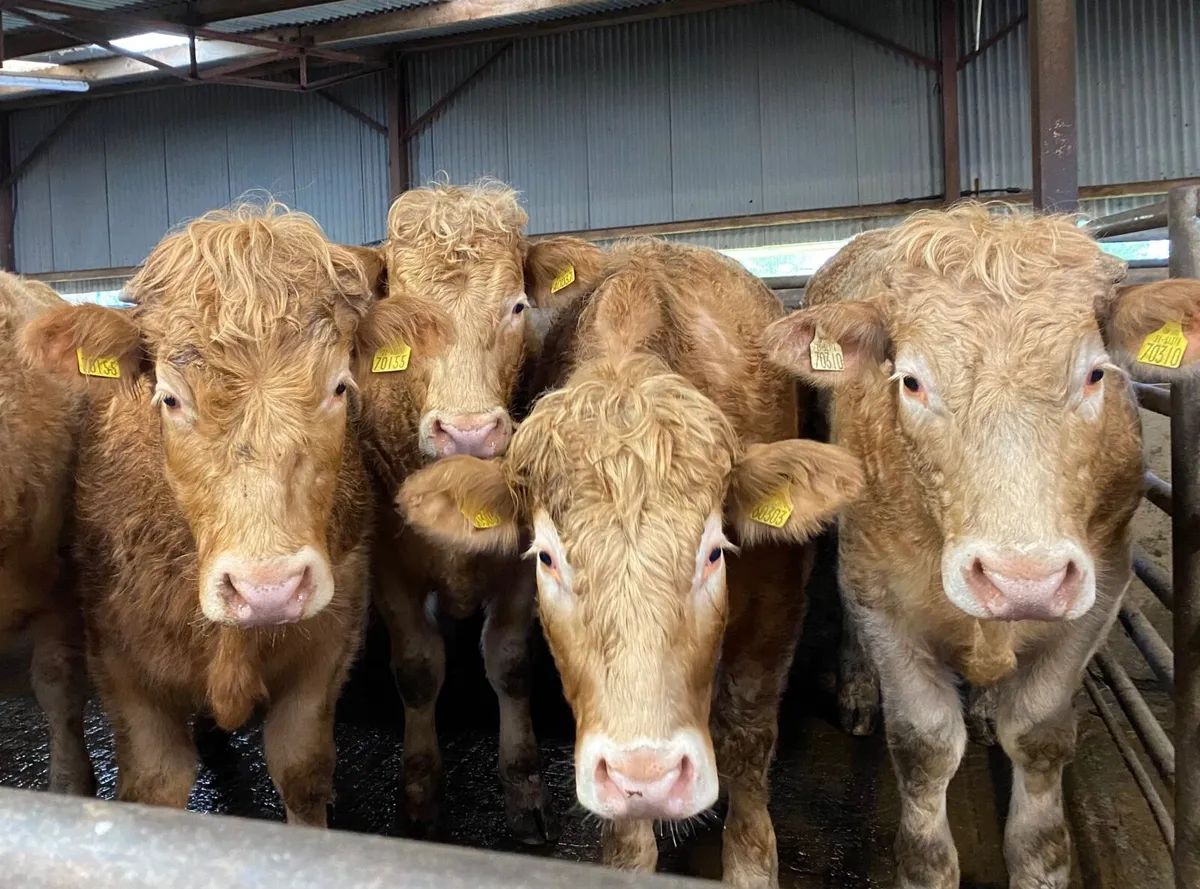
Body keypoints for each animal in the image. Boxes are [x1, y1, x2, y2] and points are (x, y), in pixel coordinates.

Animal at [20, 203, 443, 825]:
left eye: (340, 387)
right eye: (170, 398)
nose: (268, 589)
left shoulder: (327, 645)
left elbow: (301, 769)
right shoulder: (124, 669)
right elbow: (157, 782)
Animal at [354, 181, 567, 843]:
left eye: (517, 306)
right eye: (404, 320)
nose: (469, 432)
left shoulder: (522, 561)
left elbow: (511, 662)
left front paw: (525, 790)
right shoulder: (390, 562)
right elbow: (418, 669)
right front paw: (419, 794)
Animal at [396, 237, 864, 886]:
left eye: (713, 551)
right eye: (547, 558)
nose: (648, 775)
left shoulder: (775, 608)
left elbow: (745, 740)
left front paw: (750, 861)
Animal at [761, 203, 1200, 889]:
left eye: (1096, 373)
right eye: (911, 381)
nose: (1024, 579)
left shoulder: (1100, 592)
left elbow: (1041, 736)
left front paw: (1041, 864)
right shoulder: (881, 595)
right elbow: (924, 744)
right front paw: (925, 865)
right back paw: (857, 690)